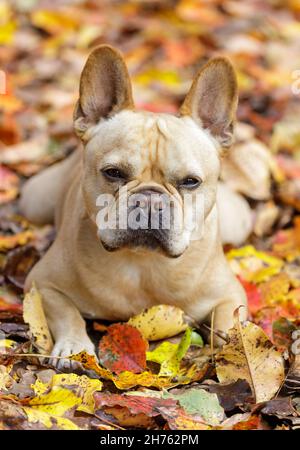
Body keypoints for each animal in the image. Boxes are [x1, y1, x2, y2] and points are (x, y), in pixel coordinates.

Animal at [19, 44, 247, 366]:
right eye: (113, 173)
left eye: (190, 181)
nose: (150, 199)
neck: (143, 264)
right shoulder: (41, 285)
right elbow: (66, 312)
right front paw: (74, 345)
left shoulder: (231, 293)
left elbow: (230, 321)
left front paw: (238, 351)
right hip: (34, 202)